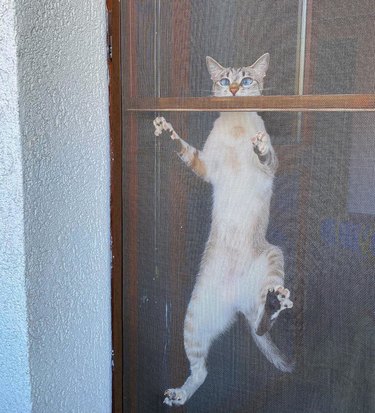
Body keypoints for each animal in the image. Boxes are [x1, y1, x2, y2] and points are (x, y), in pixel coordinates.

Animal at [154, 52, 296, 406]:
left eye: (245, 80)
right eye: (223, 80)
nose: (232, 89)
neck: (235, 125)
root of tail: (238, 301)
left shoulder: (271, 166)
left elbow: (267, 155)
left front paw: (258, 146)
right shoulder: (206, 166)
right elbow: (186, 151)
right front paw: (166, 132)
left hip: (274, 257)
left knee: (262, 323)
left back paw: (275, 302)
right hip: (194, 320)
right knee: (203, 369)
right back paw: (178, 395)